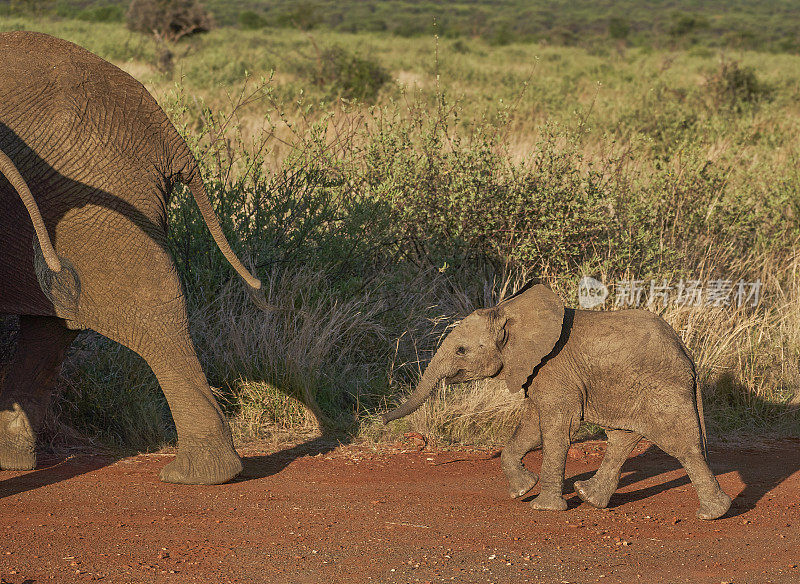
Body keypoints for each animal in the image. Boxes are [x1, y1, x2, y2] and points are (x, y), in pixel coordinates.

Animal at [386, 284, 732, 520]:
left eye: (461, 350)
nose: (384, 420)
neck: (511, 313)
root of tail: (686, 353)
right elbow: (531, 427)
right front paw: (522, 490)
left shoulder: (554, 370)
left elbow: (557, 429)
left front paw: (544, 508)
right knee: (623, 439)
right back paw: (589, 497)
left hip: (664, 389)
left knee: (682, 447)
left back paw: (714, 514)